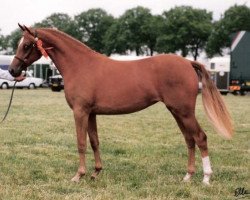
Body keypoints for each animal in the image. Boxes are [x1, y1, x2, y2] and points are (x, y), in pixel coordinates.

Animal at [9, 24, 232, 184]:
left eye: (26, 45)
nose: (12, 70)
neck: (80, 65)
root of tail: (188, 62)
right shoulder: (91, 113)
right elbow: (94, 141)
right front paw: (96, 173)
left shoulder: (80, 112)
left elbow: (81, 143)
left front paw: (78, 175)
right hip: (176, 111)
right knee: (189, 140)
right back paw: (188, 176)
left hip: (184, 112)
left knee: (200, 137)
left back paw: (206, 178)